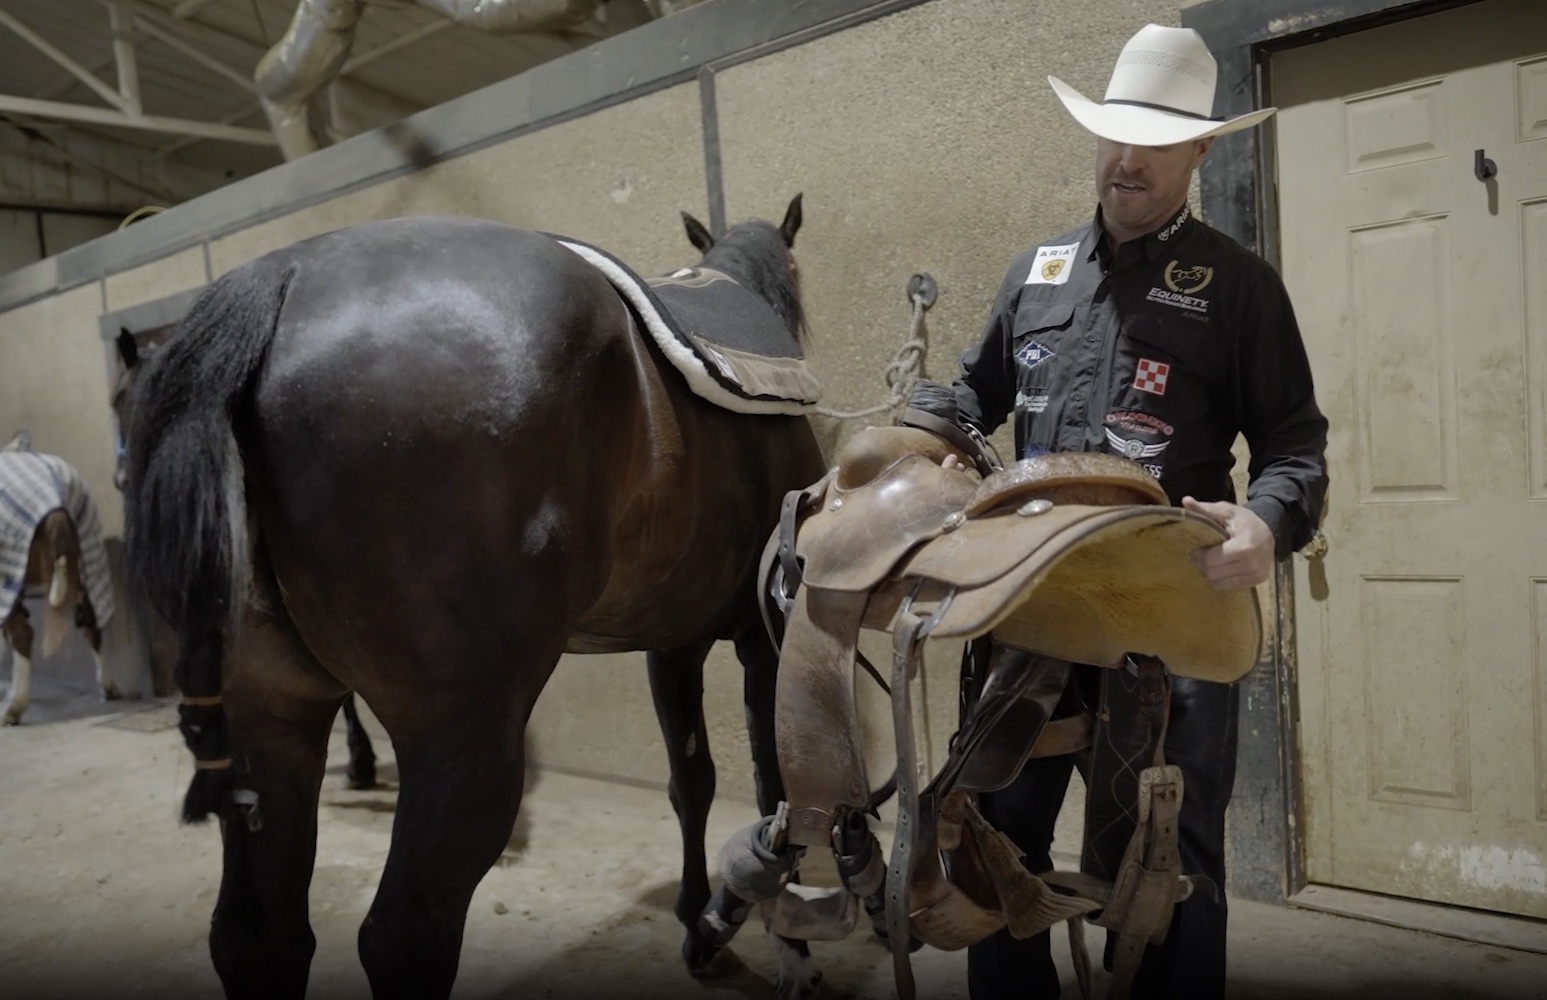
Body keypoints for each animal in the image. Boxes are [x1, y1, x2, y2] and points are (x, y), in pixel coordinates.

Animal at [1, 433, 120, 725]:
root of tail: (55, 506)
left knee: (22, 634)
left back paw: (14, 707)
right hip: (87, 566)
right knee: (91, 625)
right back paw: (109, 687)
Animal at [119, 200, 864, 1000]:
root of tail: (279, 279)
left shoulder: (672, 645)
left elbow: (692, 782)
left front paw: (700, 925)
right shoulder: (764, 636)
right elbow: (772, 793)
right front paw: (783, 950)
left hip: (270, 723)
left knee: (258, 936)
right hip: (464, 743)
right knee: (403, 936)